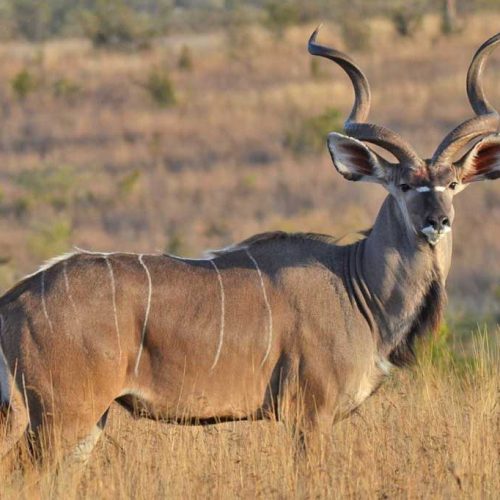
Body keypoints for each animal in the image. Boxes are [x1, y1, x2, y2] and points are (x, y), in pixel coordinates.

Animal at [0, 30, 500, 460]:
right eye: (402, 185)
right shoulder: (309, 414)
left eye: (453, 184)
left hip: (88, 420)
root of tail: (14, 300)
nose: (437, 221)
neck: (357, 287)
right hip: (63, 414)